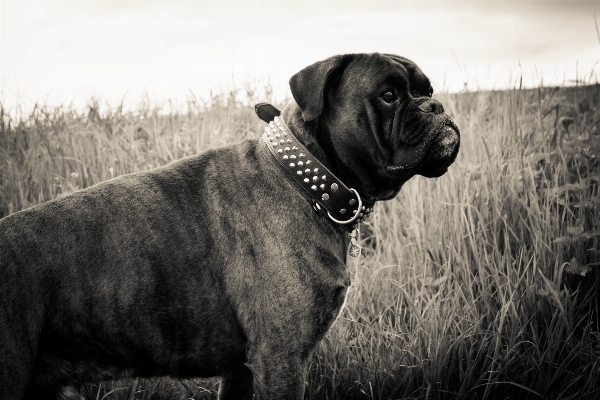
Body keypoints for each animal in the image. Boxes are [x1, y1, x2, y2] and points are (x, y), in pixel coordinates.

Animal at [0, 53, 460, 400]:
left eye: (427, 91)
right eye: (388, 95)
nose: (437, 106)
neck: (306, 180)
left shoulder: (242, 370)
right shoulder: (281, 360)